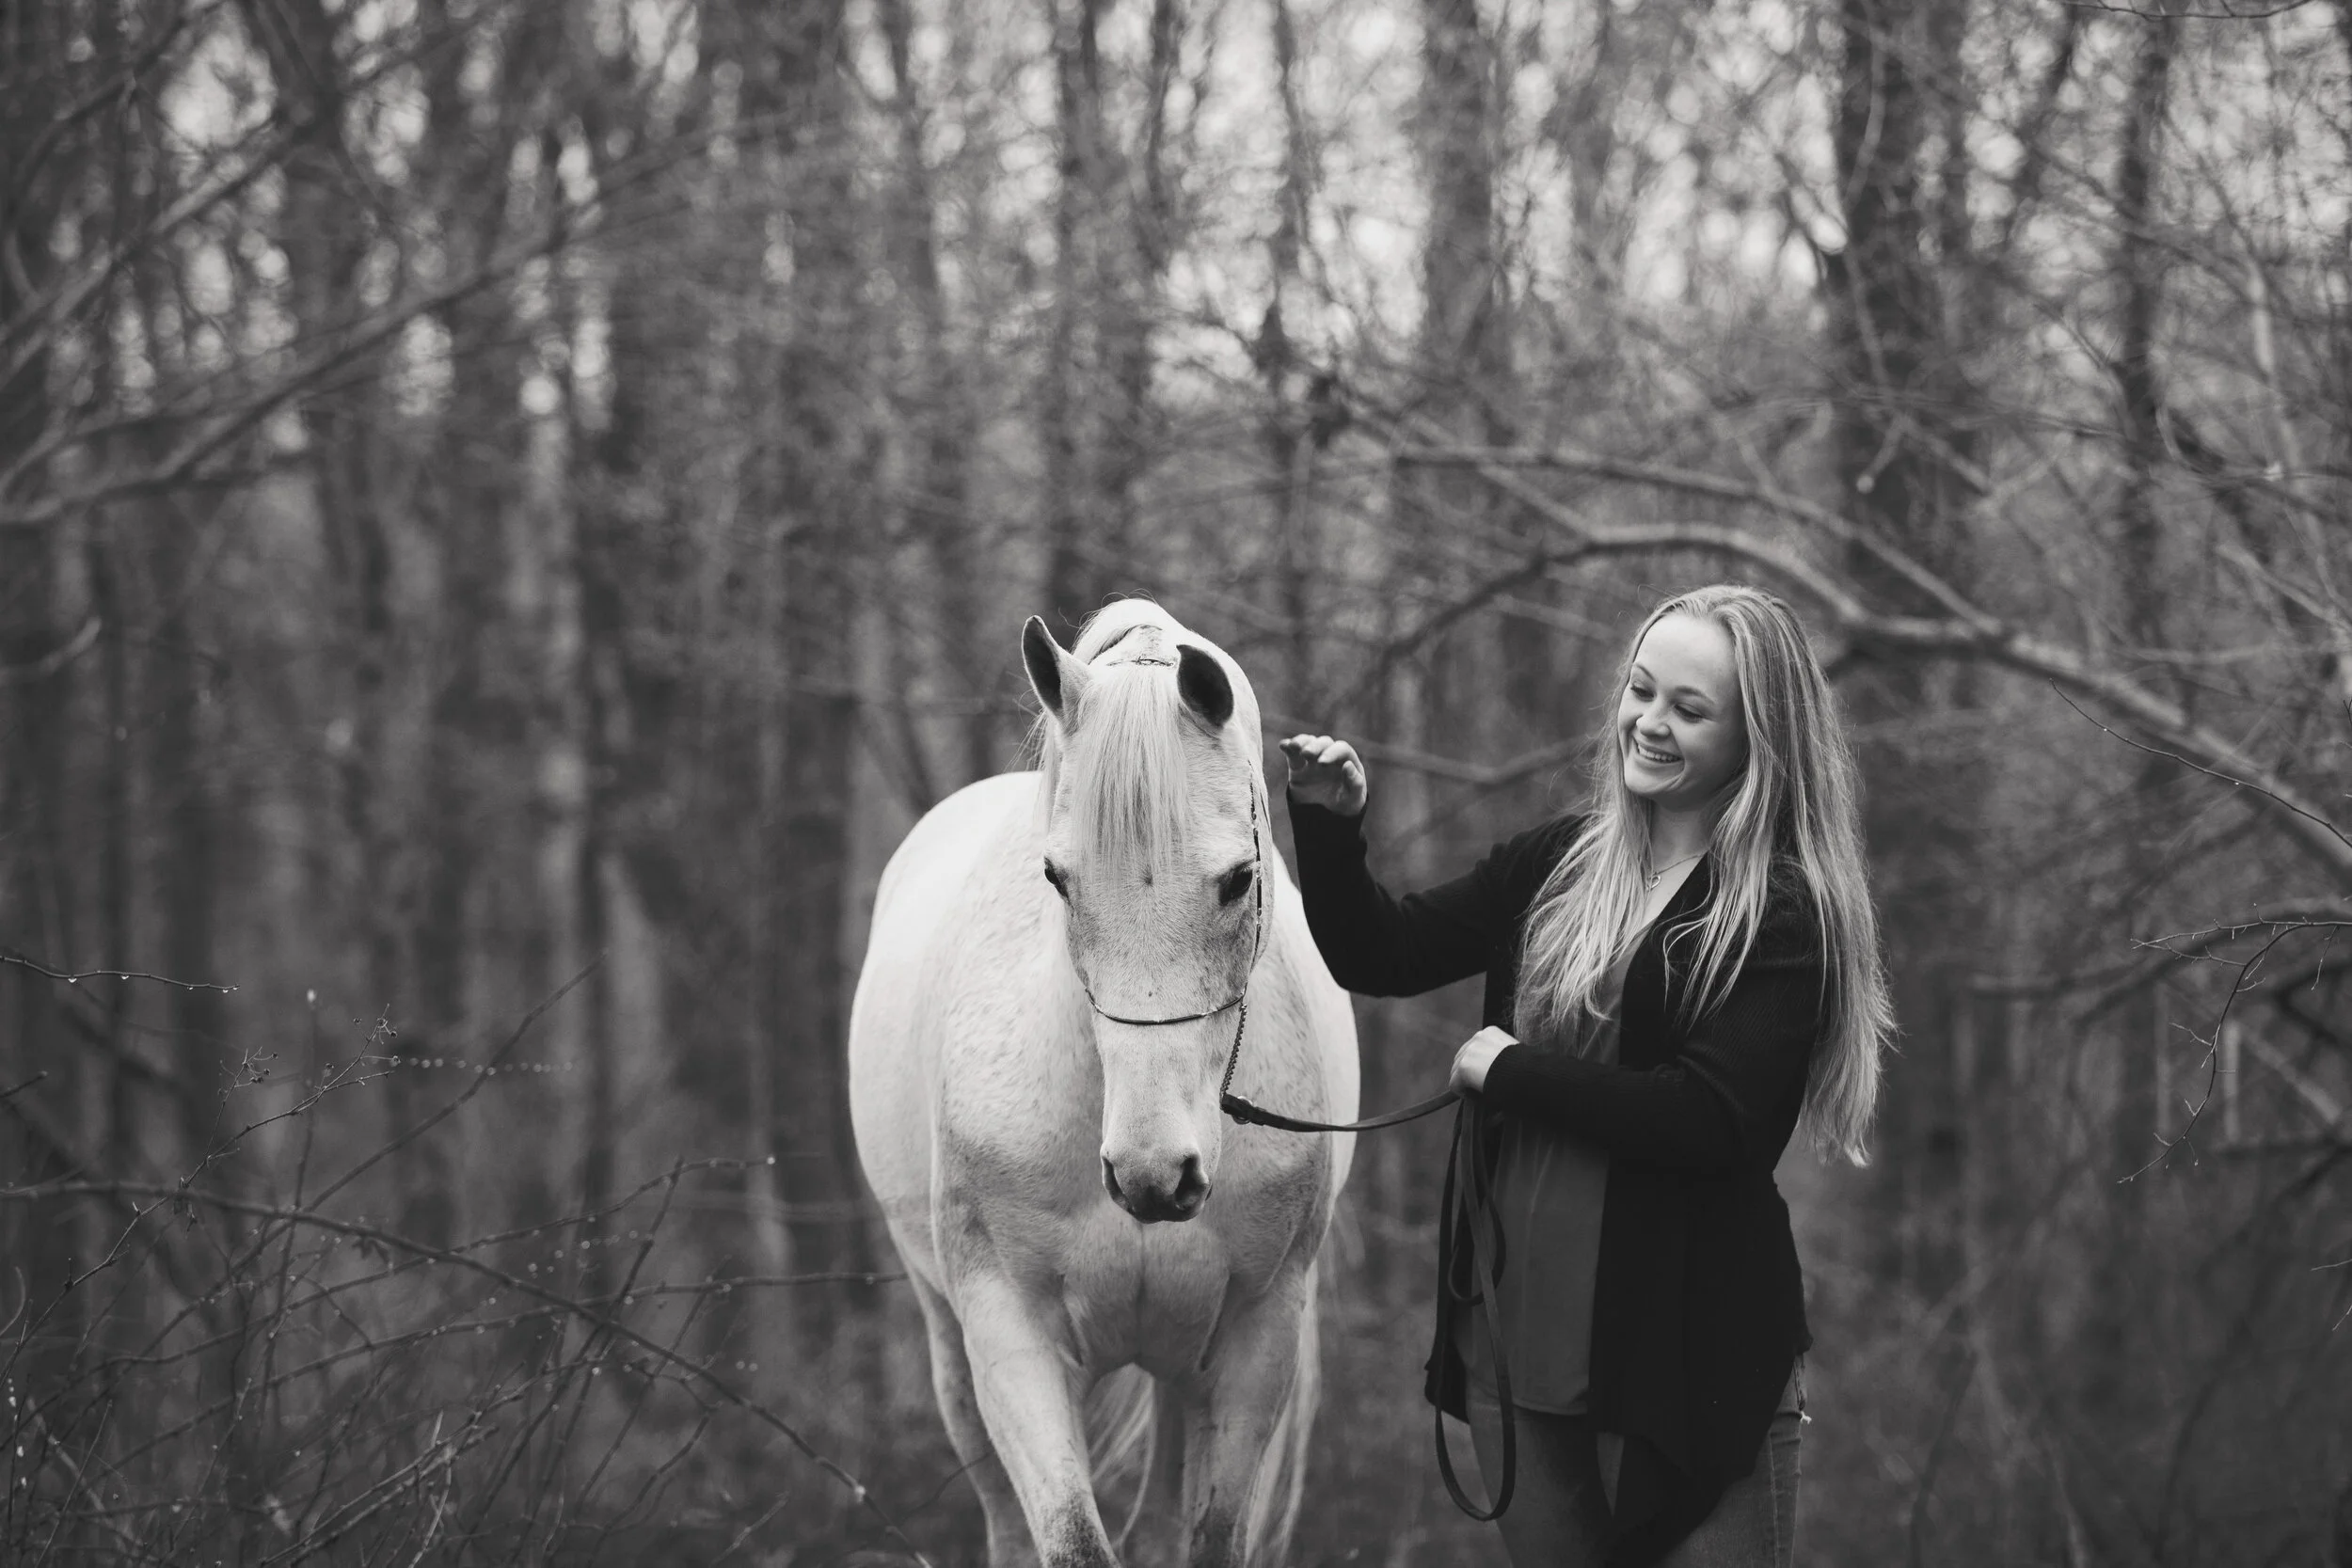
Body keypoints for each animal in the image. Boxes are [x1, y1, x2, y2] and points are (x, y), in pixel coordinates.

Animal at [848, 600, 1360, 1568]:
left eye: (1240, 878)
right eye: (1057, 877)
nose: (1154, 1175)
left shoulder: (1253, 1340)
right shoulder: (1010, 1338)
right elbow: (1072, 1542)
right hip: (953, 1351)